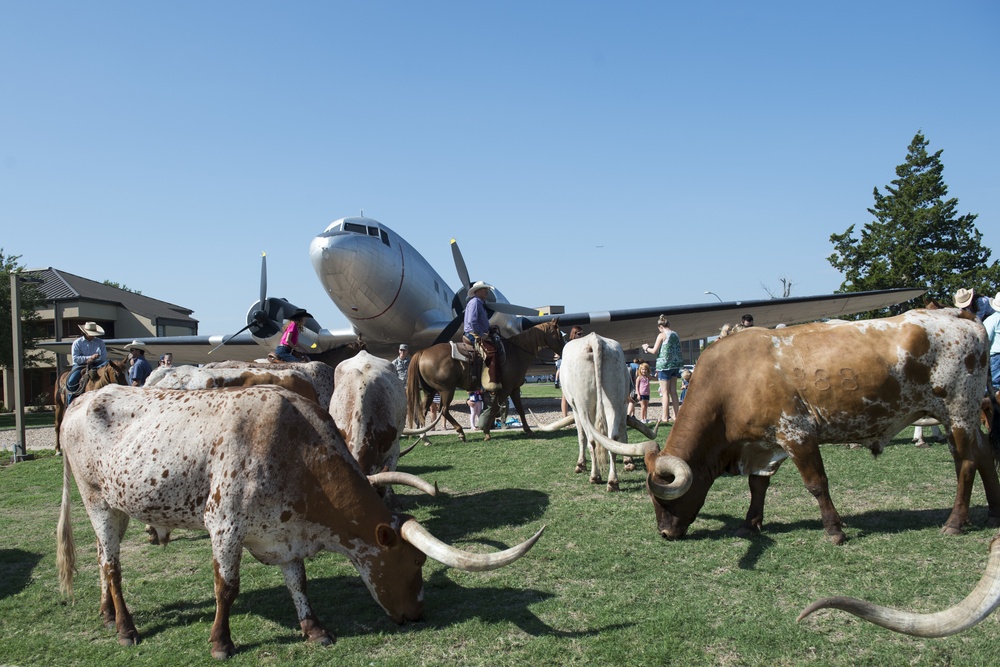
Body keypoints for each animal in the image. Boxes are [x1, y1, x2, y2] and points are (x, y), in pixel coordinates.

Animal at [58, 384, 544, 660]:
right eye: (416, 564)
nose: (418, 615)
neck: (295, 449)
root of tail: (81, 399)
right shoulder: (224, 525)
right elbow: (226, 587)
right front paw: (221, 643)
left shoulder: (285, 530)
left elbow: (299, 581)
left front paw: (314, 629)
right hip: (97, 501)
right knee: (112, 565)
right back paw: (126, 628)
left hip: (117, 505)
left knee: (102, 557)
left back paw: (107, 613)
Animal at [404, 320, 564, 440]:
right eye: (559, 335)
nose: (564, 349)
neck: (516, 353)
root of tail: (423, 352)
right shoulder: (505, 389)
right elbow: (494, 409)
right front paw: (486, 432)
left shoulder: (514, 388)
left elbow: (520, 409)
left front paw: (528, 430)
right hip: (446, 390)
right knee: (443, 411)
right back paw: (460, 432)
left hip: (429, 391)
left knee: (422, 411)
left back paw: (424, 437)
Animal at [584, 310, 1000, 544]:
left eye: (663, 499)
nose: (665, 534)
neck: (731, 380)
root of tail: (960, 318)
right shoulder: (763, 444)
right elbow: (758, 485)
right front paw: (751, 523)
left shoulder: (797, 435)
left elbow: (816, 484)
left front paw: (834, 531)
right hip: (960, 417)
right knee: (983, 455)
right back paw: (991, 514)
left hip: (958, 411)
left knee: (966, 463)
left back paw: (955, 523)